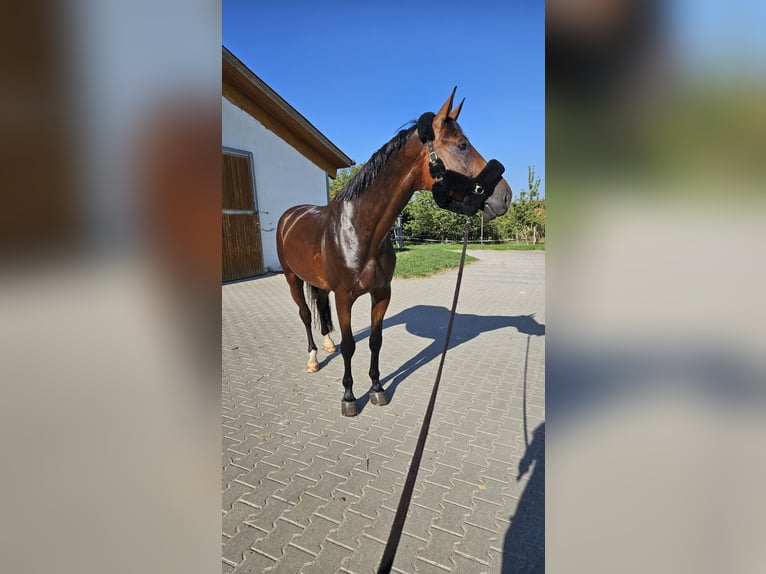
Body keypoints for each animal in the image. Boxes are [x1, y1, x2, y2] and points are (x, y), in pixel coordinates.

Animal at [276, 88, 512, 416]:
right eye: (462, 145)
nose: (506, 196)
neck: (359, 230)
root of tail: (290, 215)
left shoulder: (381, 293)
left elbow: (376, 340)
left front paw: (377, 388)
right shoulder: (344, 298)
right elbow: (350, 345)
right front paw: (349, 397)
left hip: (318, 283)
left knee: (320, 310)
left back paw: (327, 344)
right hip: (292, 279)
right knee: (305, 314)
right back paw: (313, 359)